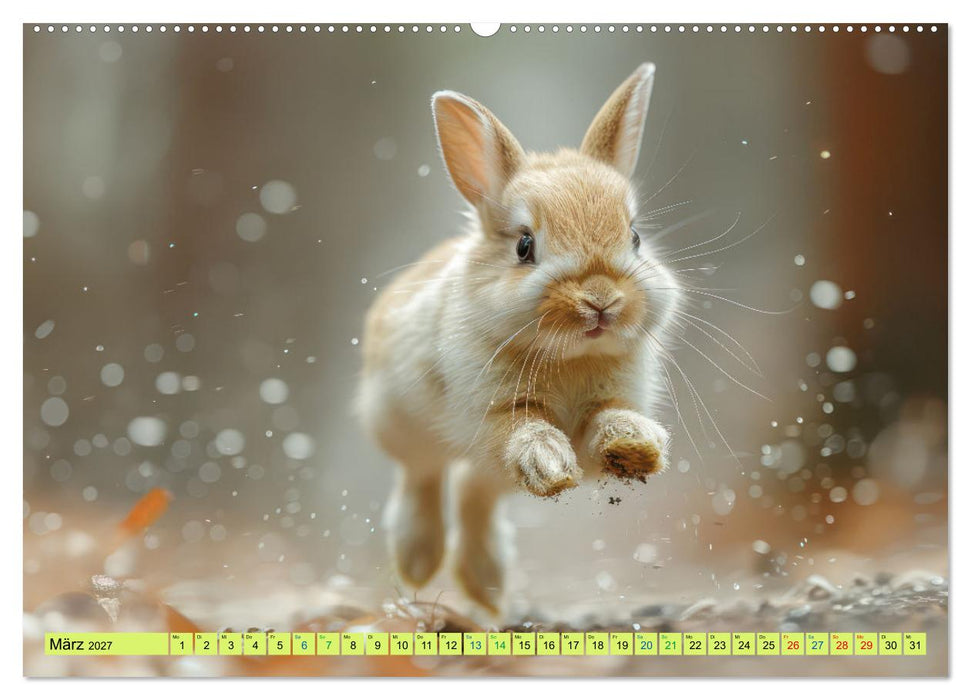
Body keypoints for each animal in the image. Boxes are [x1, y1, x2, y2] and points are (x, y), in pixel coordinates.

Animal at [357, 63, 681, 614]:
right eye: (525, 246)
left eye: (635, 237)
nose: (601, 300)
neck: (570, 357)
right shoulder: (489, 415)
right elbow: (523, 431)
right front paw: (549, 462)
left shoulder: (611, 398)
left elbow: (606, 422)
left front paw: (635, 448)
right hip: (402, 426)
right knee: (425, 477)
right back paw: (419, 563)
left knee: (474, 495)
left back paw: (486, 588)